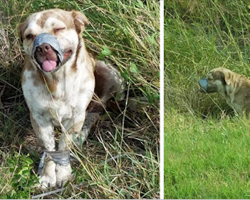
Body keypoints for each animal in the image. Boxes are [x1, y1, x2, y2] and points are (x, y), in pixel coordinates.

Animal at [18, 8, 125, 189]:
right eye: (29, 36)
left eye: (59, 29)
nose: (42, 47)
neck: (57, 81)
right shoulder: (39, 119)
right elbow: (49, 149)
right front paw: (47, 176)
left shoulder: (75, 117)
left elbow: (63, 146)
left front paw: (63, 174)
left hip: (111, 74)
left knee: (97, 110)